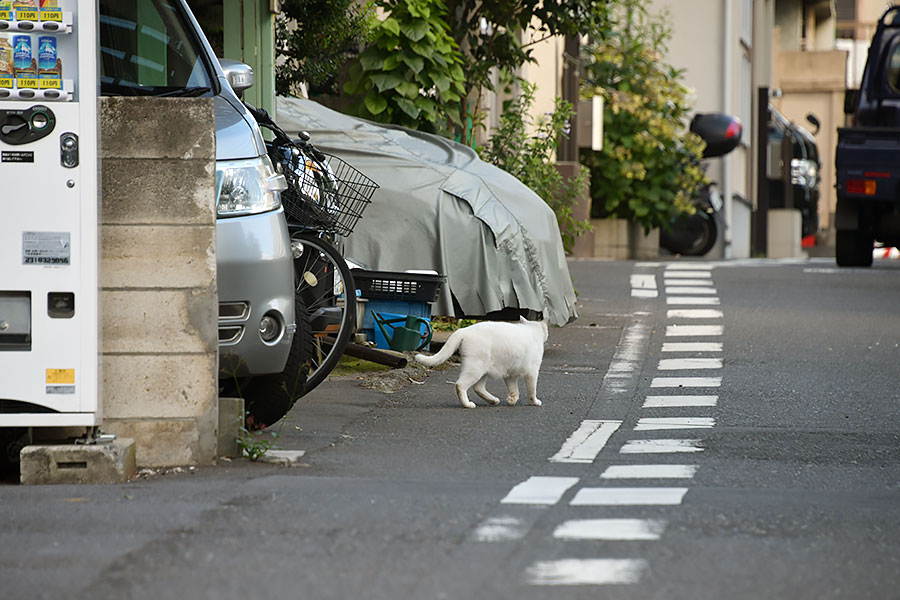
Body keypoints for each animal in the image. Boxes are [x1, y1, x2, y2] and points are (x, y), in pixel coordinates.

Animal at [414, 316, 548, 410]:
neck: (532, 331)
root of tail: (464, 330)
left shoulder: (510, 375)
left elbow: (514, 389)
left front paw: (512, 400)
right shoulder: (532, 372)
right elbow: (532, 391)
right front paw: (534, 402)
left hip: (483, 370)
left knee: (478, 388)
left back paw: (493, 400)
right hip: (476, 368)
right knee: (460, 385)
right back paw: (468, 404)